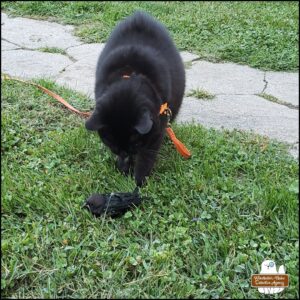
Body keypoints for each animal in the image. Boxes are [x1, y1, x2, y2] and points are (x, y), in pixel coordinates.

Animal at [84, 11, 186, 185]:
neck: (130, 75)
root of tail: (139, 15)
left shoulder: (155, 132)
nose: (125, 152)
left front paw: (139, 181)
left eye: (135, 142)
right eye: (111, 143)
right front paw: (123, 169)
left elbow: (146, 158)